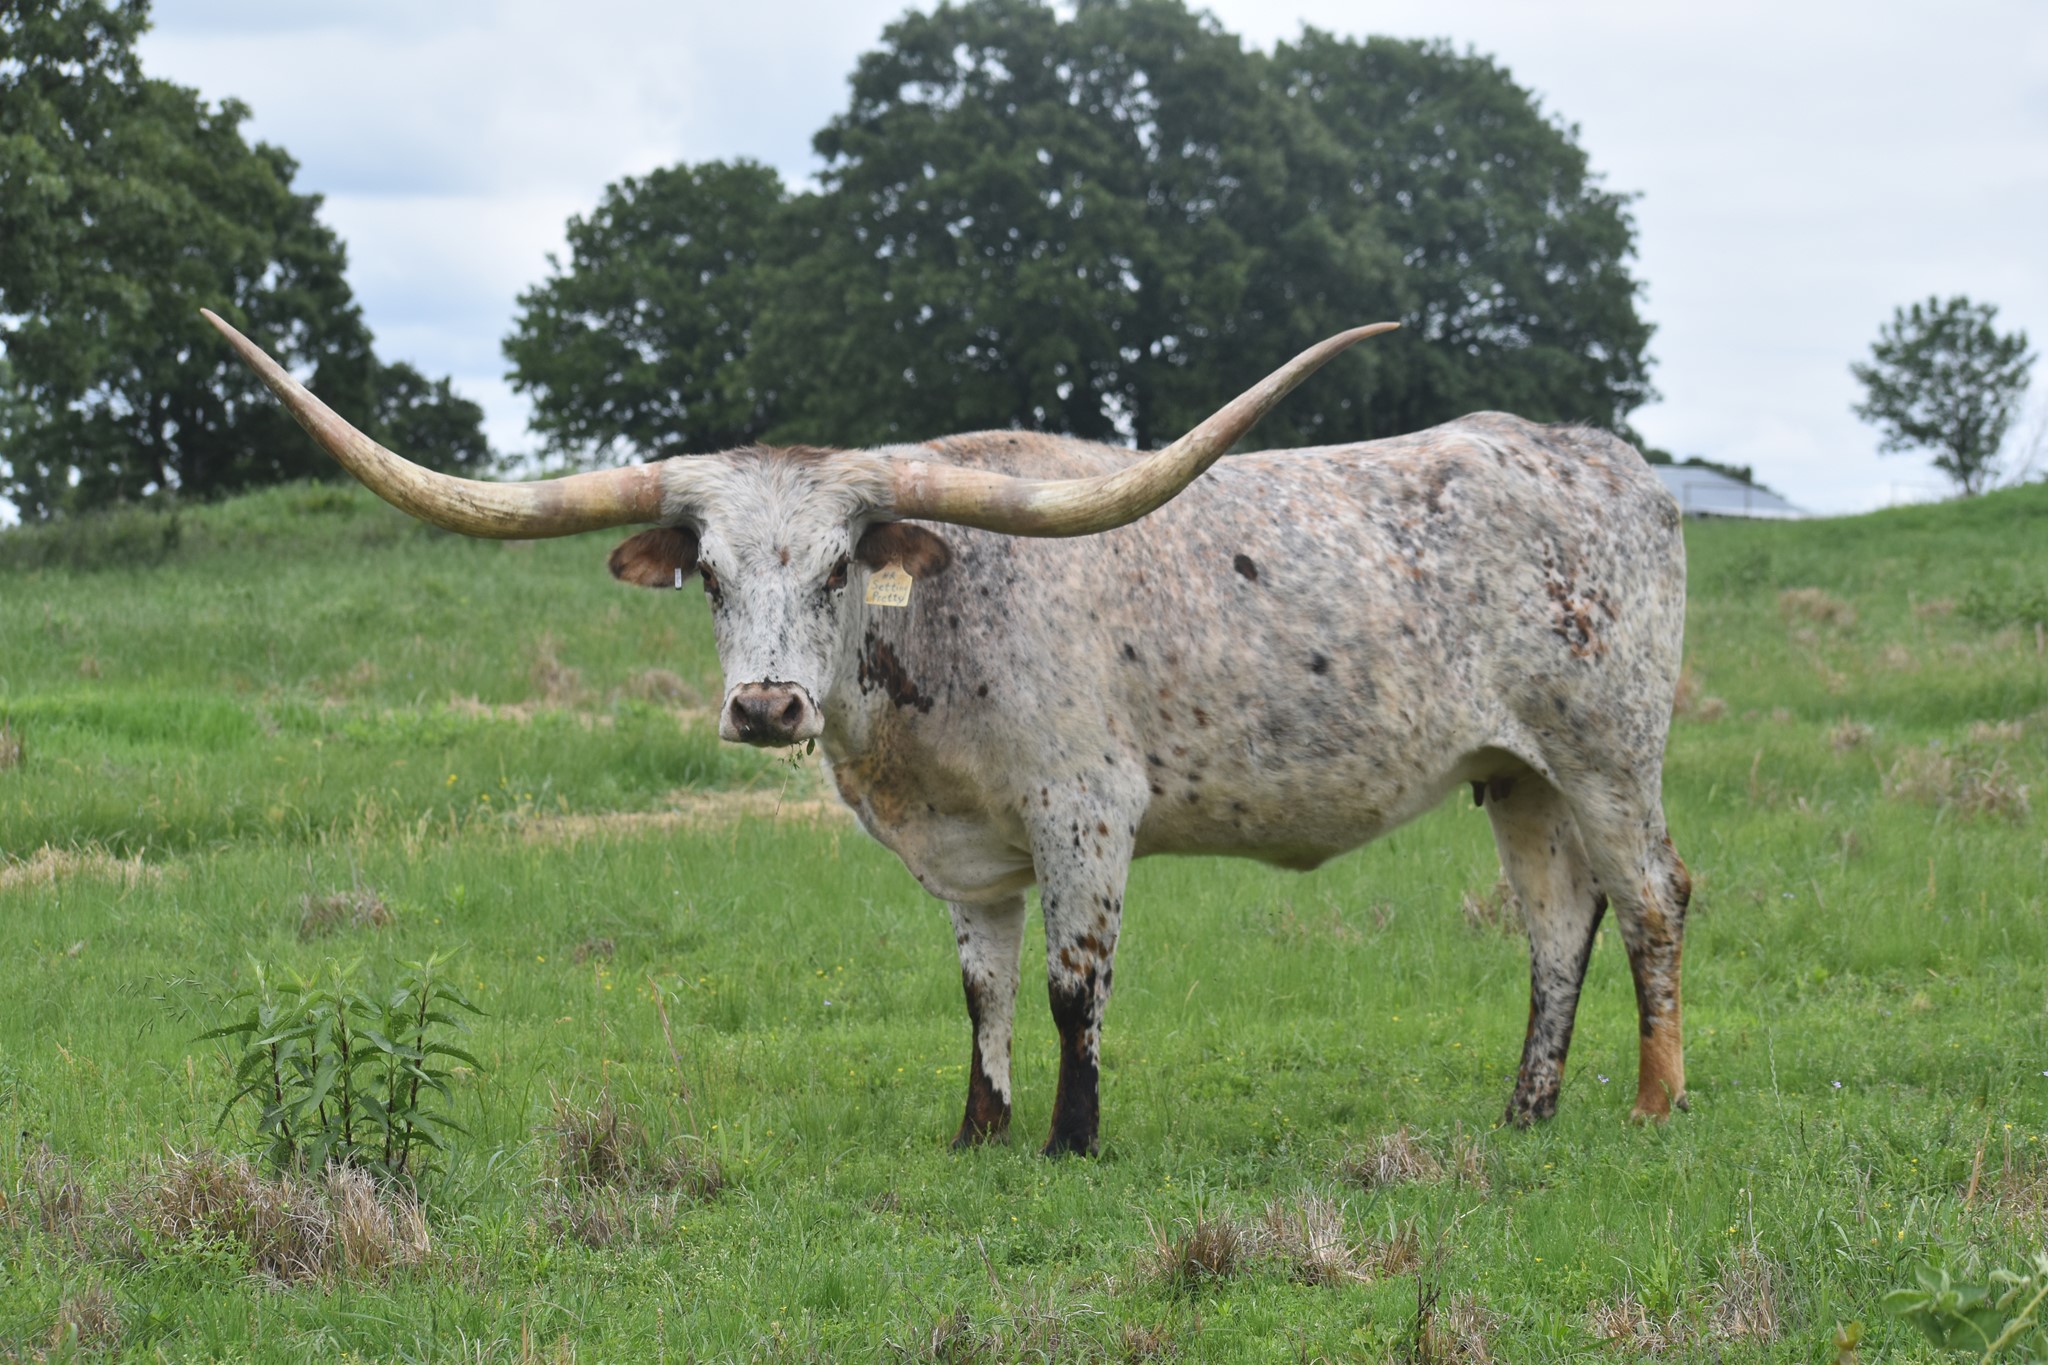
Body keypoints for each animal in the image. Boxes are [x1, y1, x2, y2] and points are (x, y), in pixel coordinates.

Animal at [202, 309, 1692, 1157]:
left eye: (838, 567)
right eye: (711, 576)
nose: (766, 707)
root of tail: (1602, 459)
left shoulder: (1087, 817)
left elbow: (1074, 988)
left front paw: (1073, 1144)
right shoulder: (969, 860)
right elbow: (982, 992)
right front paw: (979, 1133)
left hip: (1610, 754)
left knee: (1654, 901)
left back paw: (1653, 1103)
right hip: (1516, 775)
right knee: (1558, 927)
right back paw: (1525, 1113)